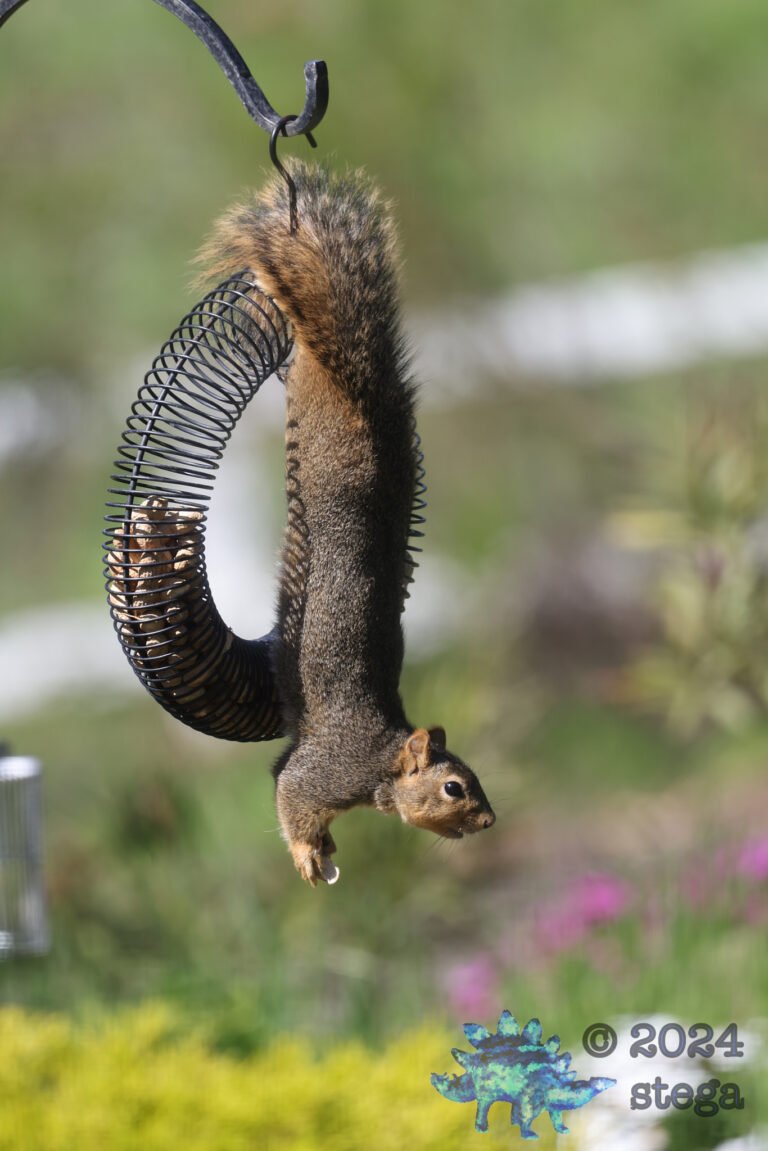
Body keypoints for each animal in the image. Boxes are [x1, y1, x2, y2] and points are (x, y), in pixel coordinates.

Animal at [197, 161, 495, 885]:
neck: (384, 762)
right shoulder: (323, 769)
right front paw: (310, 855)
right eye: (454, 787)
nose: (489, 820)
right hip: (327, 446)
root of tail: (363, 396)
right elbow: (289, 792)